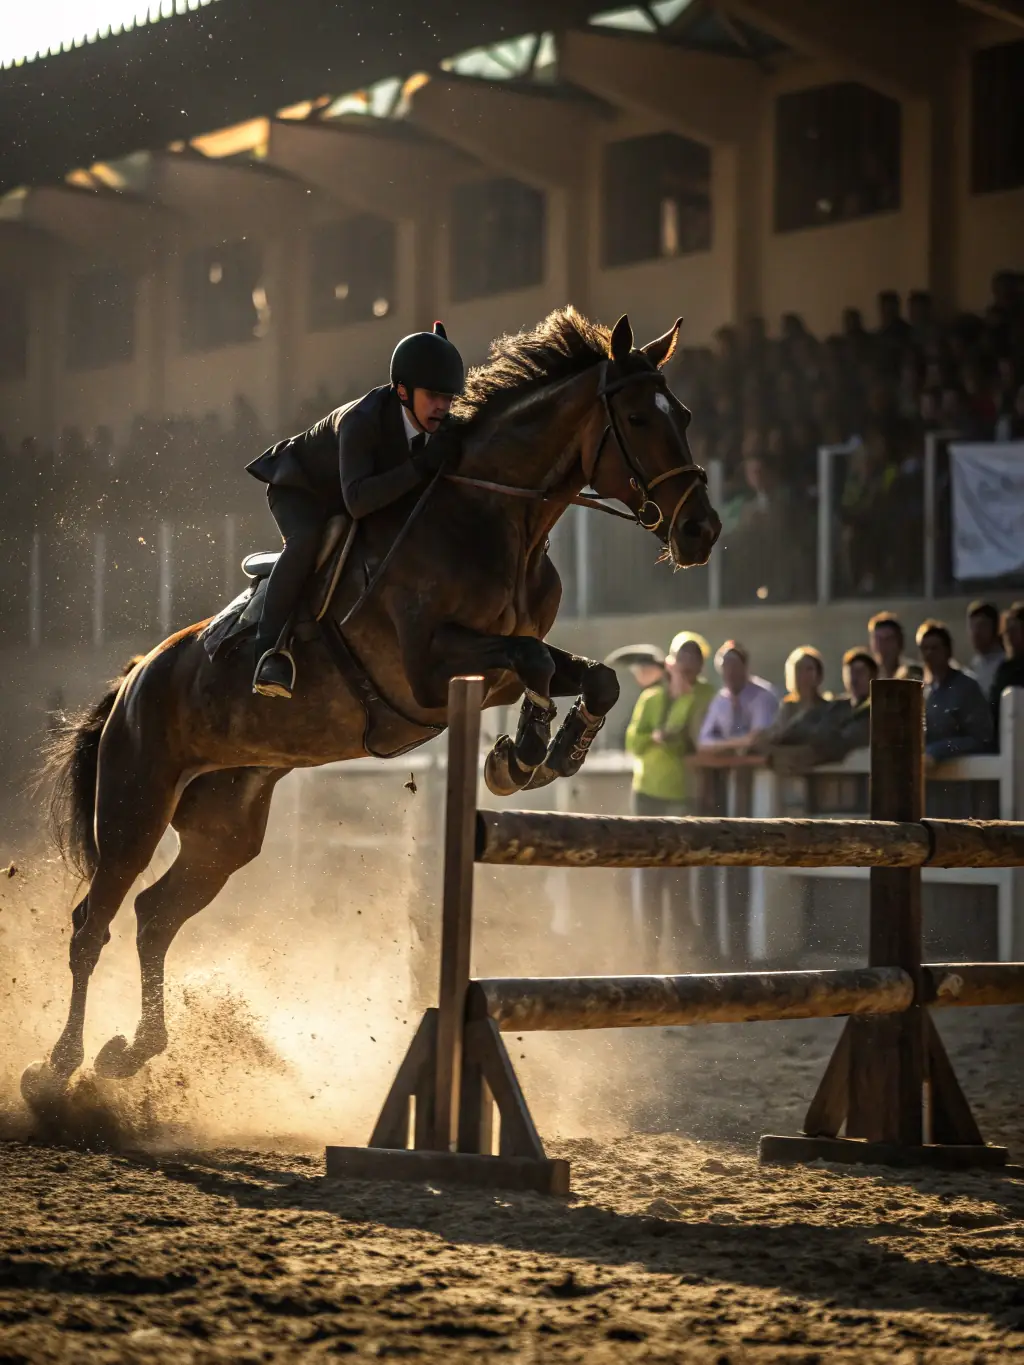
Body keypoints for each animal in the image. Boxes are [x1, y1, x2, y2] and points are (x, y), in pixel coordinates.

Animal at [23, 307, 720, 1102]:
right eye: (636, 416)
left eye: (684, 414)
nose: (701, 531)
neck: (497, 517)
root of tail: (134, 676)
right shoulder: (424, 670)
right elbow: (537, 662)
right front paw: (521, 755)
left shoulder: (495, 664)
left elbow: (590, 675)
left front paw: (550, 751)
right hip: (134, 807)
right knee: (93, 922)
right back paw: (58, 1066)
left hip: (224, 828)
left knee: (154, 918)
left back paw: (131, 1052)